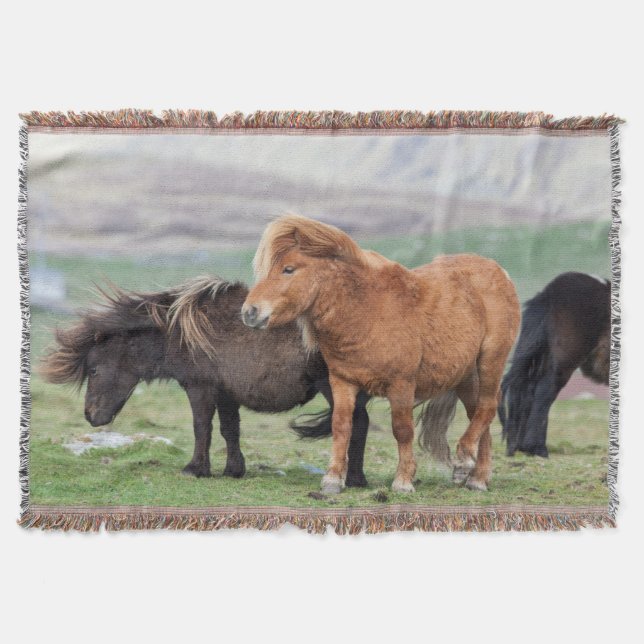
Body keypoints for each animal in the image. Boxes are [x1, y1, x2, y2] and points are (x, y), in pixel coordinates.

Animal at [40, 276, 371, 485]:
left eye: (94, 370)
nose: (90, 416)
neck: (180, 332)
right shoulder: (225, 393)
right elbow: (229, 430)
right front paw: (233, 470)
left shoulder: (200, 388)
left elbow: (202, 428)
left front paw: (195, 469)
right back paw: (356, 478)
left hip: (333, 387)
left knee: (355, 424)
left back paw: (351, 479)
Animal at [242, 214, 520, 494]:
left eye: (288, 269)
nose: (249, 312)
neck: (366, 312)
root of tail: (499, 272)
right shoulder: (342, 382)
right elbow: (341, 426)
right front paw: (332, 479)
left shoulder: (402, 385)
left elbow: (402, 430)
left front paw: (403, 480)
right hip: (465, 376)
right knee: (479, 415)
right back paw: (477, 477)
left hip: (490, 361)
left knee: (487, 407)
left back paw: (464, 461)